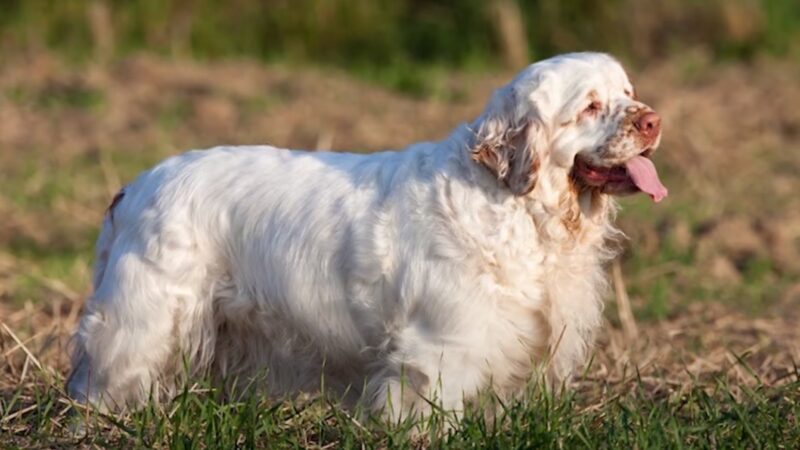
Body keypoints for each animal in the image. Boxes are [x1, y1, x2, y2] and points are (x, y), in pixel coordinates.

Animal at [67, 52, 668, 418]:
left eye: (629, 91)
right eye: (590, 106)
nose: (653, 121)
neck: (518, 209)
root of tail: (134, 186)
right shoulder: (437, 351)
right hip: (141, 326)